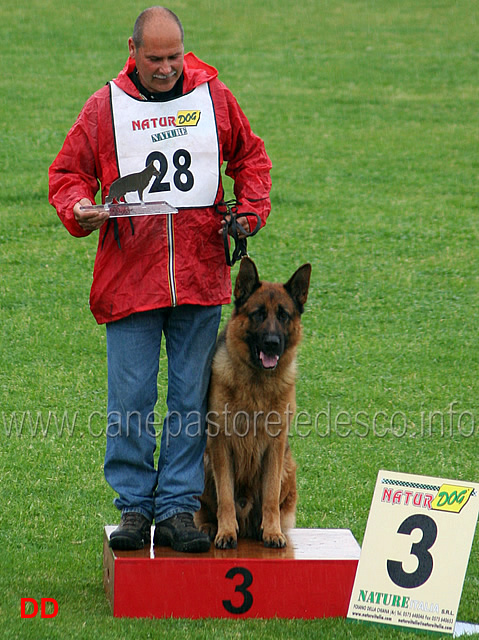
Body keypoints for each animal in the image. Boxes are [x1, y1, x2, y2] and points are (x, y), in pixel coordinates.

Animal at [195, 258, 312, 548]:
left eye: (283, 316)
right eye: (258, 314)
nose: (272, 343)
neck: (257, 384)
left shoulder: (274, 446)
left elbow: (270, 496)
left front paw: (272, 532)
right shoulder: (221, 445)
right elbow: (225, 497)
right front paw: (226, 532)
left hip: (287, 467)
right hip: (204, 463)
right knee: (204, 509)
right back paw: (208, 527)